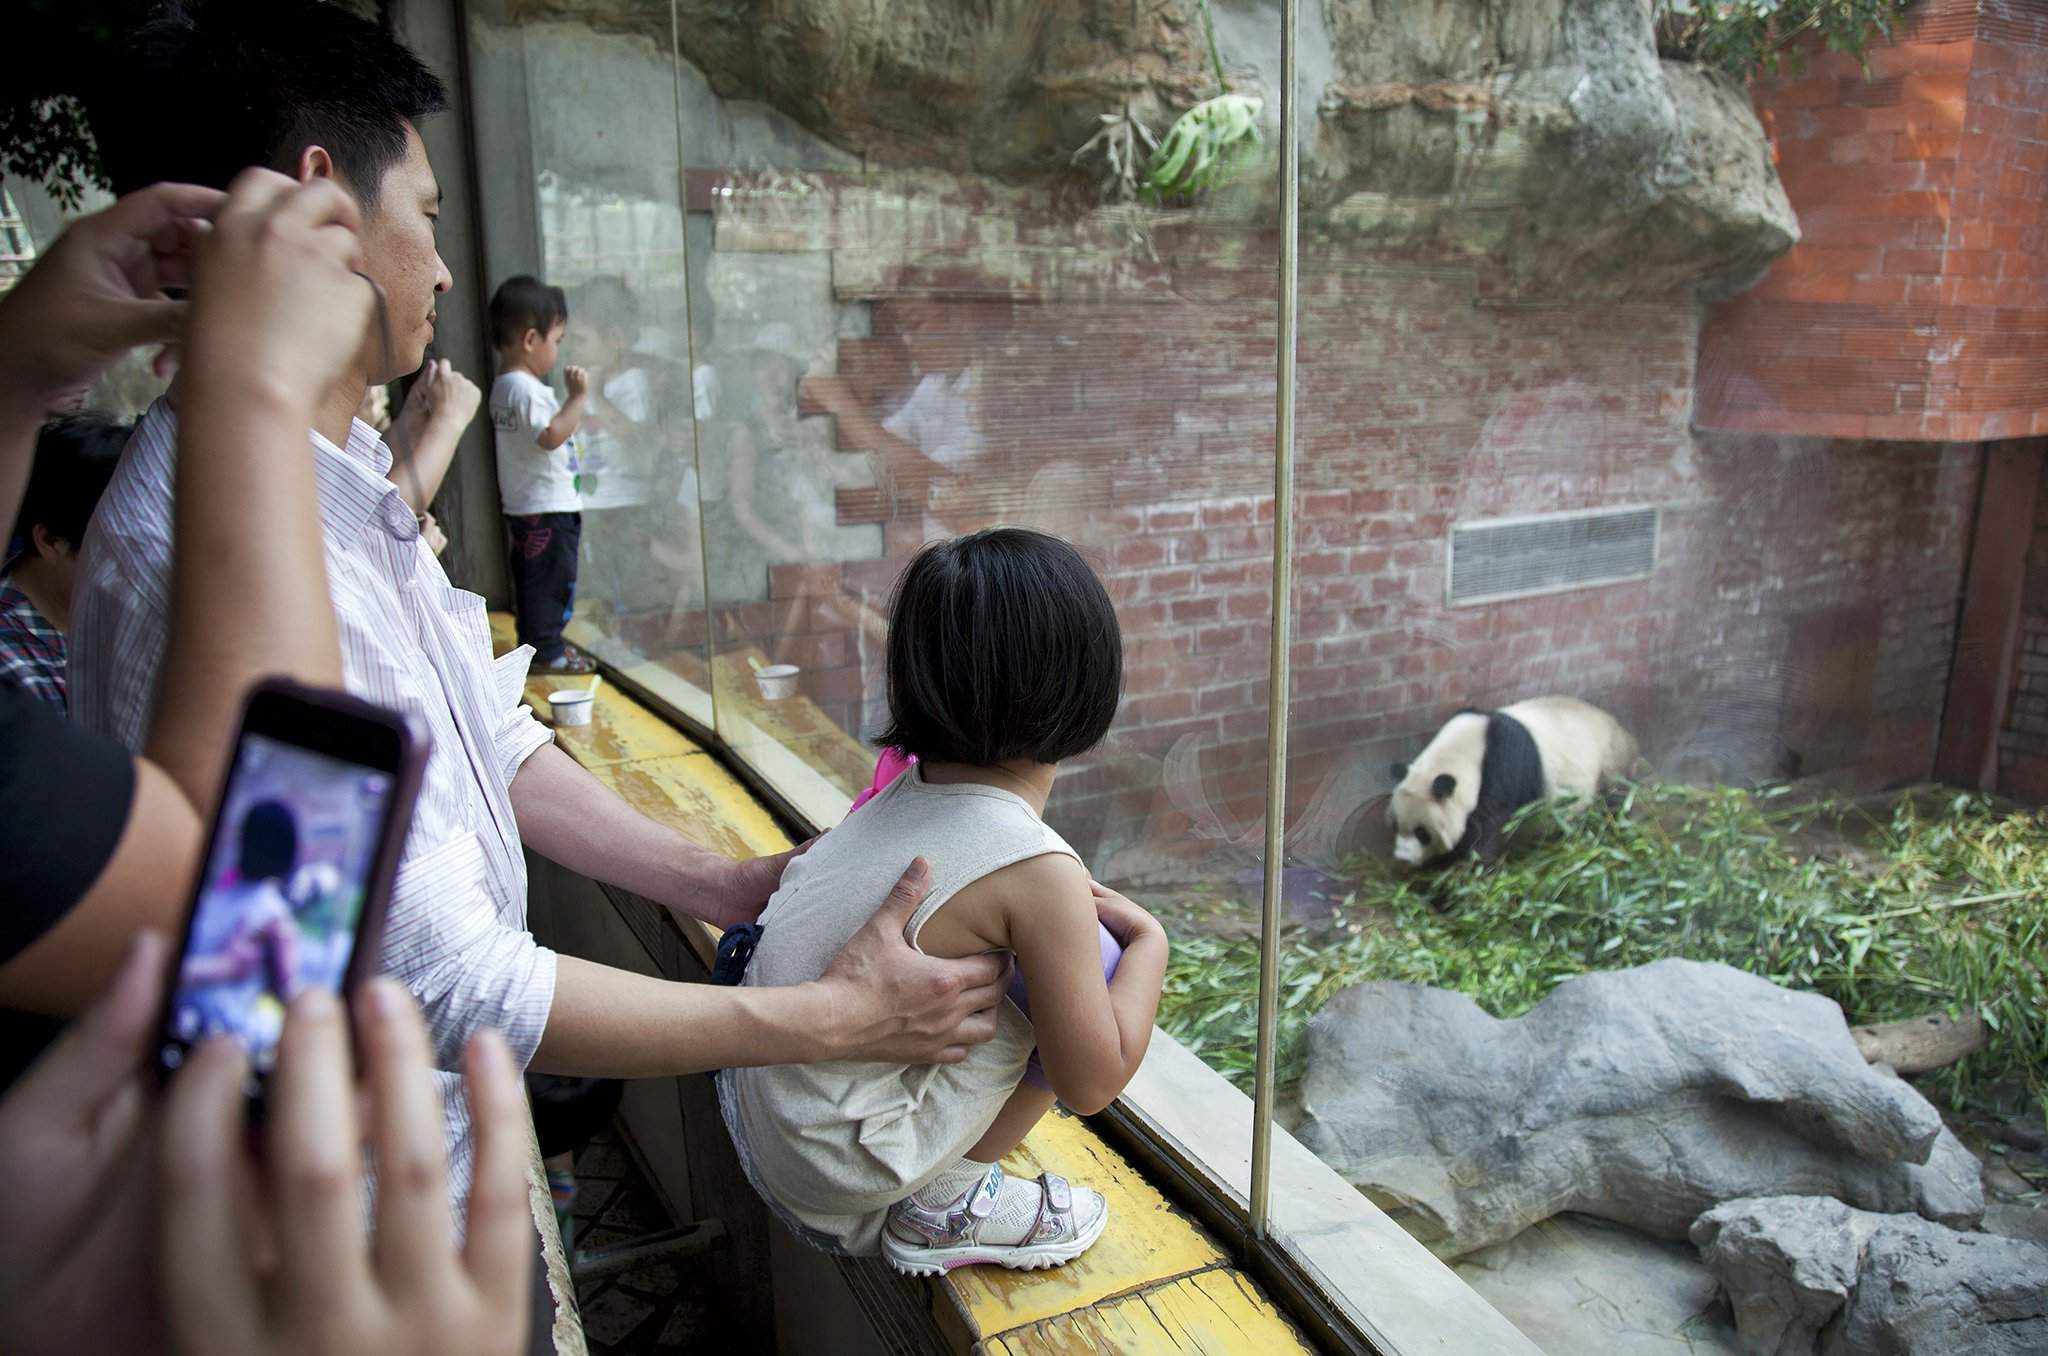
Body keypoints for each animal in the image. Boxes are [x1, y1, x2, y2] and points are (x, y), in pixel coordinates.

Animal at [1384, 700, 1638, 872]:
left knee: (1610, 806)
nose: (1402, 857)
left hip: (1609, 767)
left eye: (1422, 833)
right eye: (1395, 826)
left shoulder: (1506, 768)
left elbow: (1488, 832)